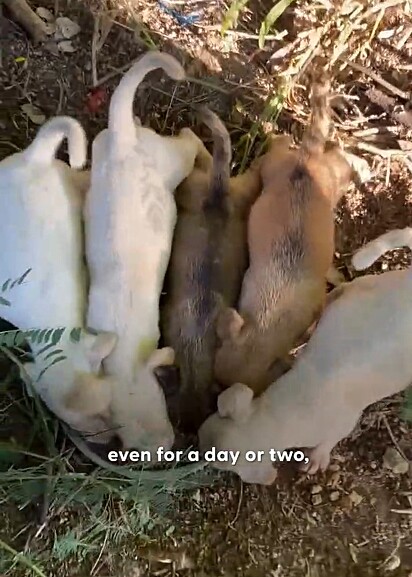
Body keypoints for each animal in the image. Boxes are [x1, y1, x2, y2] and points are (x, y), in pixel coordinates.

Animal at [85, 49, 204, 452]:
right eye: (131, 444)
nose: (170, 445)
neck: (124, 356)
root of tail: (123, 142)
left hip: (166, 158)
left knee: (188, 142)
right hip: (107, 145)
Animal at [214, 71, 356, 396]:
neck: (267, 324)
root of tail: (306, 161)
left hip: (279, 166)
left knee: (286, 147)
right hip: (295, 169)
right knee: (318, 155)